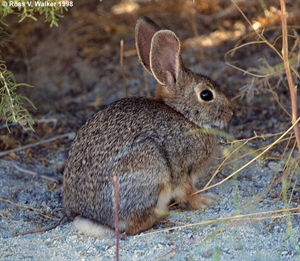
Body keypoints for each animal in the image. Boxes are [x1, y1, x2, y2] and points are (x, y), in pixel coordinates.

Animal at [63, 15, 233, 236]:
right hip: (151, 168)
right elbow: (187, 194)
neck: (183, 115)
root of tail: (92, 219)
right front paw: (205, 201)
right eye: (206, 95)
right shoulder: (183, 171)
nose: (231, 112)